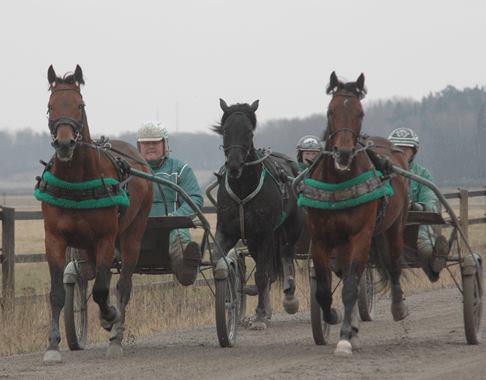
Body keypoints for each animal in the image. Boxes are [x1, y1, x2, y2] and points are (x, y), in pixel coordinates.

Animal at [40, 65, 152, 362]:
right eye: (50, 106)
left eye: (79, 105)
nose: (64, 143)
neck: (77, 180)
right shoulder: (54, 238)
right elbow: (57, 292)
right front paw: (52, 346)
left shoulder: (105, 237)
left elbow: (102, 290)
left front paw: (110, 317)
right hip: (88, 246)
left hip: (132, 233)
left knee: (123, 285)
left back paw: (116, 336)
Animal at [213, 98, 304, 330]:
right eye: (225, 130)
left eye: (249, 132)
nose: (234, 165)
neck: (243, 189)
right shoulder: (227, 231)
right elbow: (219, 259)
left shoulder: (265, 234)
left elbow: (263, 275)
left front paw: (261, 316)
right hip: (253, 241)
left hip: (290, 230)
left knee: (286, 256)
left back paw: (289, 298)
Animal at [304, 72, 410, 354]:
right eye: (330, 111)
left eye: (360, 112)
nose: (343, 152)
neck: (339, 181)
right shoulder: (319, 238)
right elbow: (323, 288)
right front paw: (332, 316)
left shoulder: (362, 234)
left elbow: (351, 286)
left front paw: (343, 338)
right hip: (342, 242)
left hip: (394, 226)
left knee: (393, 264)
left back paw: (397, 307)